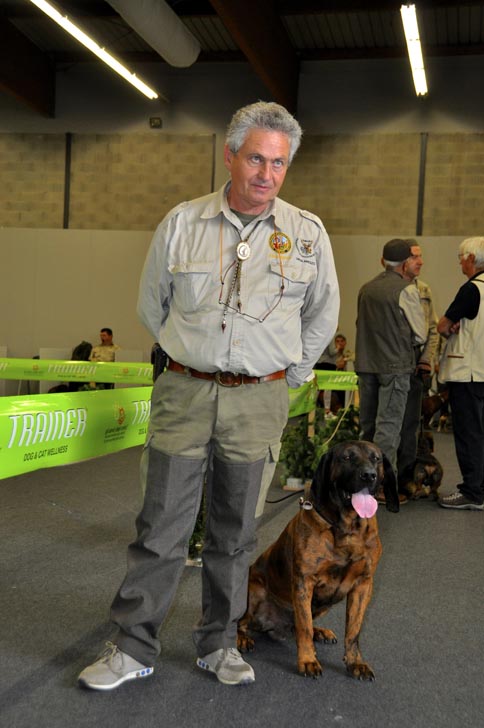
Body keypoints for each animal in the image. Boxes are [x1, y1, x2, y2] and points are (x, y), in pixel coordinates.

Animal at [238, 440, 399, 680]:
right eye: (347, 458)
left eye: (376, 458)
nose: (368, 475)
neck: (346, 530)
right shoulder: (304, 582)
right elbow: (304, 626)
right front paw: (307, 660)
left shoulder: (363, 584)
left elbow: (353, 630)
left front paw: (355, 662)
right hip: (253, 594)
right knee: (241, 622)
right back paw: (242, 638)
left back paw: (320, 632)